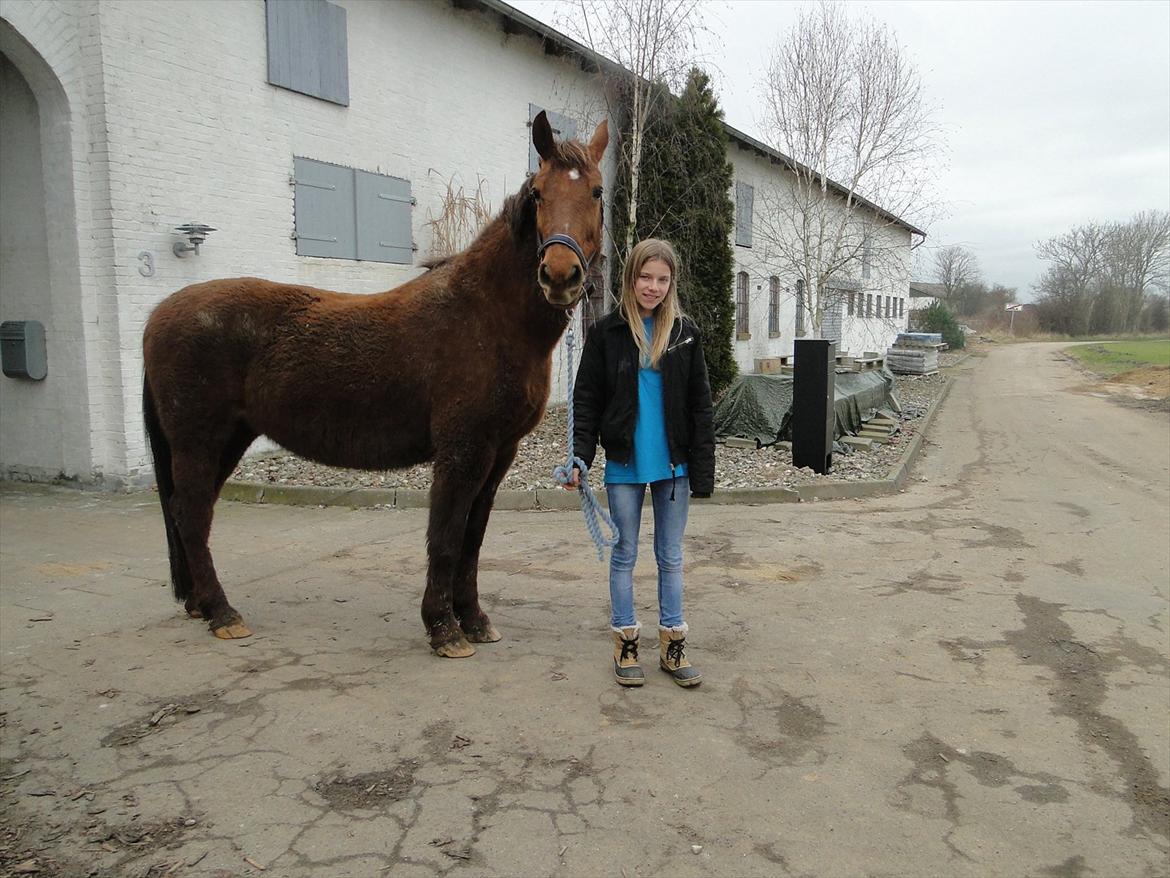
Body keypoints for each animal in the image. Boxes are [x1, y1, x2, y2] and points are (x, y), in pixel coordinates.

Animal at [141, 110, 608, 655]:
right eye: (537, 193)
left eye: (596, 191)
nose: (560, 275)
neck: (488, 316)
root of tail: (160, 314)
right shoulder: (462, 451)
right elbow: (445, 536)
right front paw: (443, 627)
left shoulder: (500, 451)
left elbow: (472, 538)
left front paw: (473, 618)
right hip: (199, 440)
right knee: (192, 513)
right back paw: (222, 612)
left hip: (228, 439)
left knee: (187, 511)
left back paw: (199, 603)